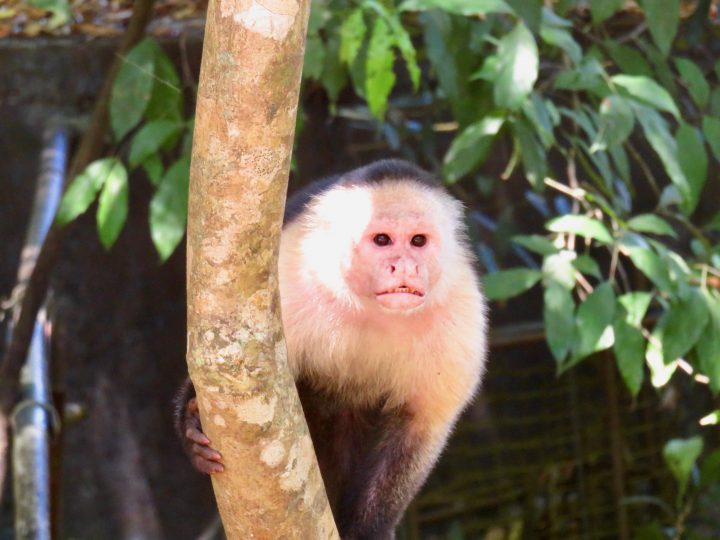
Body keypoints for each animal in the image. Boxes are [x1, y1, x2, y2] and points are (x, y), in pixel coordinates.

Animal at [175, 158, 490, 536]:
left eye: (418, 241)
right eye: (382, 240)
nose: (405, 266)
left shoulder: (462, 317)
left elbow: (418, 429)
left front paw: (368, 529)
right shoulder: (292, 279)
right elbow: (222, 359)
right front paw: (192, 426)